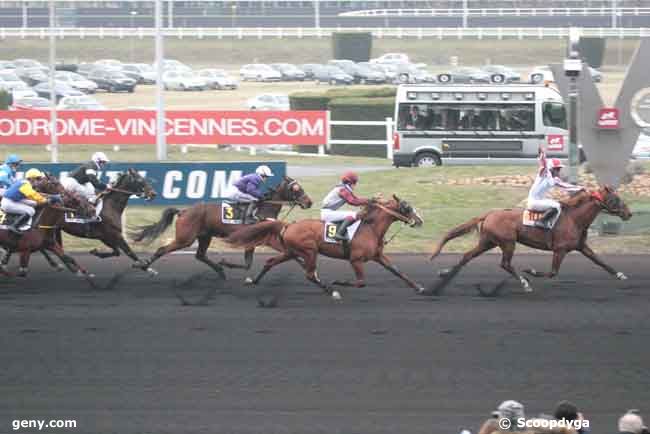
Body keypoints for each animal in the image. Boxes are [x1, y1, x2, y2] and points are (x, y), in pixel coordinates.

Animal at [3, 169, 158, 274]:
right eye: (140, 180)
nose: (153, 193)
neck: (110, 206)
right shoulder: (113, 234)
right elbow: (129, 252)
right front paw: (147, 268)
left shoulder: (105, 237)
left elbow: (116, 252)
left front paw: (95, 252)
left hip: (53, 229)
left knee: (46, 245)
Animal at [132, 176, 312, 278]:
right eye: (296, 188)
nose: (309, 202)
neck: (264, 209)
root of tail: (184, 211)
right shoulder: (267, 239)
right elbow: (289, 252)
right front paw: (305, 264)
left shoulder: (252, 241)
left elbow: (248, 264)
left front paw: (225, 263)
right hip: (185, 238)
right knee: (162, 250)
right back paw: (143, 265)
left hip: (205, 236)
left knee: (200, 255)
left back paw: (220, 270)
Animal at [225, 196, 422, 300]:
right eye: (406, 207)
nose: (420, 221)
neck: (370, 228)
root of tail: (288, 225)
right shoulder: (356, 260)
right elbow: (361, 282)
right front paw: (339, 282)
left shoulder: (378, 256)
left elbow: (397, 271)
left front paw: (418, 287)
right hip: (309, 251)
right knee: (310, 274)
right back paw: (331, 290)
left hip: (290, 252)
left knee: (270, 262)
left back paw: (254, 280)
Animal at [428, 185, 632, 296]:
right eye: (615, 198)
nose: (629, 213)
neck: (574, 218)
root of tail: (488, 214)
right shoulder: (560, 249)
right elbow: (553, 272)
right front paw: (530, 271)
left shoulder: (581, 246)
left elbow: (600, 261)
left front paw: (620, 274)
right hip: (508, 242)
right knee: (504, 264)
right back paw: (524, 283)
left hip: (488, 242)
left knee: (467, 256)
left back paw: (444, 273)